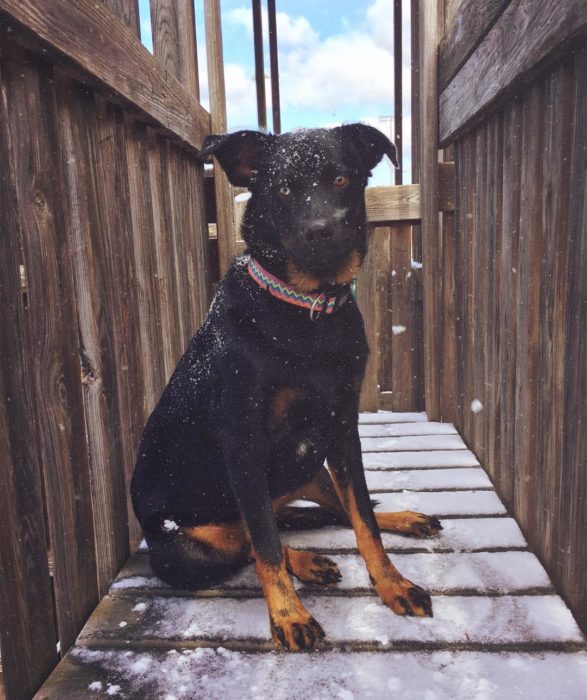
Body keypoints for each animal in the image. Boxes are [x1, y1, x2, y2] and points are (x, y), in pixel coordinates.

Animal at [132, 124, 440, 652]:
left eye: (341, 178)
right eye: (282, 190)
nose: (321, 230)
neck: (305, 309)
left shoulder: (342, 430)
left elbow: (364, 518)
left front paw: (392, 583)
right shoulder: (244, 445)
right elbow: (266, 547)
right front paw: (288, 615)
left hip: (310, 465)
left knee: (327, 512)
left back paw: (398, 520)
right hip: (182, 549)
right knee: (246, 541)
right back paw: (305, 561)